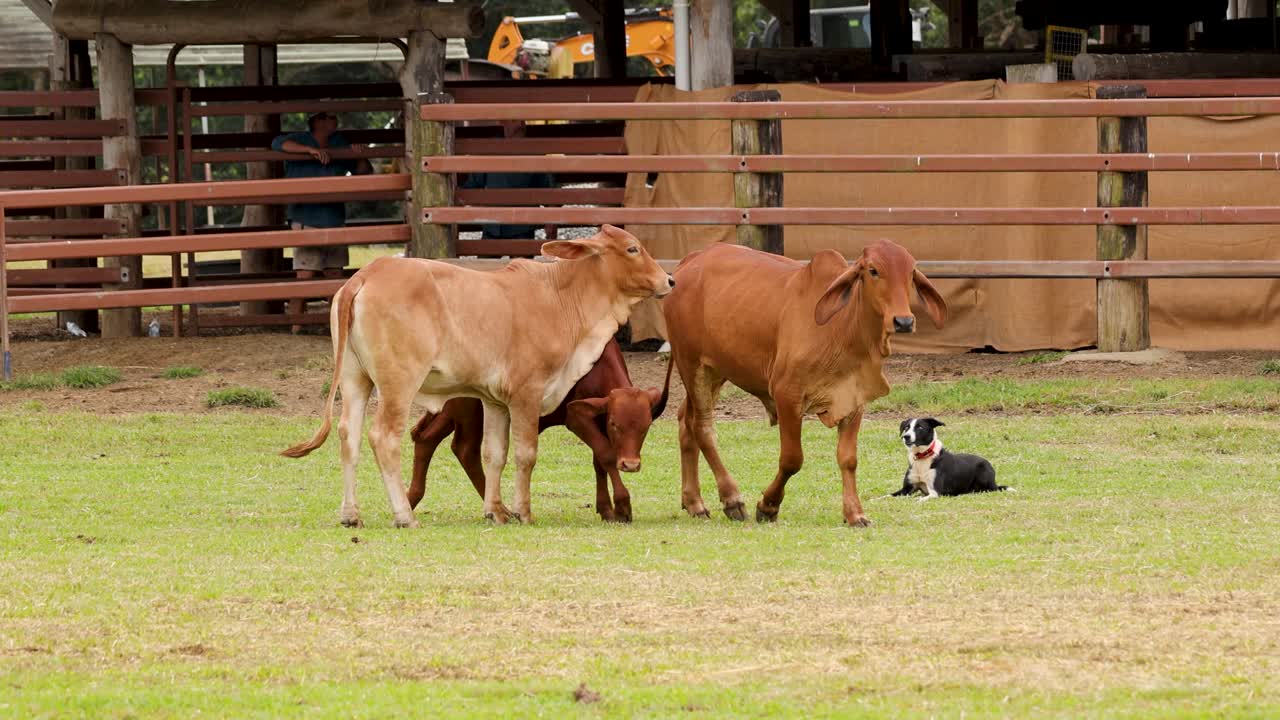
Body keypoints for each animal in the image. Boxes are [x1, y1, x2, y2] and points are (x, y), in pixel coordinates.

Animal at [406, 338, 671, 522]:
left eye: (646, 427)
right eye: (616, 423)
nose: (631, 464)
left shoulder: (597, 419)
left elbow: (599, 461)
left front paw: (606, 508)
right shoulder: (577, 418)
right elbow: (605, 455)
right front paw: (623, 505)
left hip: (452, 411)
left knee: (426, 438)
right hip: (469, 410)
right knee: (464, 448)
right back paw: (498, 508)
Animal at [661, 239, 947, 527]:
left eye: (911, 273)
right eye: (873, 270)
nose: (904, 321)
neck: (842, 328)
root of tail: (691, 260)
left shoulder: (853, 400)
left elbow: (848, 459)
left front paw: (855, 513)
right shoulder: (787, 395)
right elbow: (792, 460)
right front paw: (768, 505)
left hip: (716, 370)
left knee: (685, 421)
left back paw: (694, 502)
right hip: (692, 365)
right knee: (702, 427)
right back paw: (731, 499)